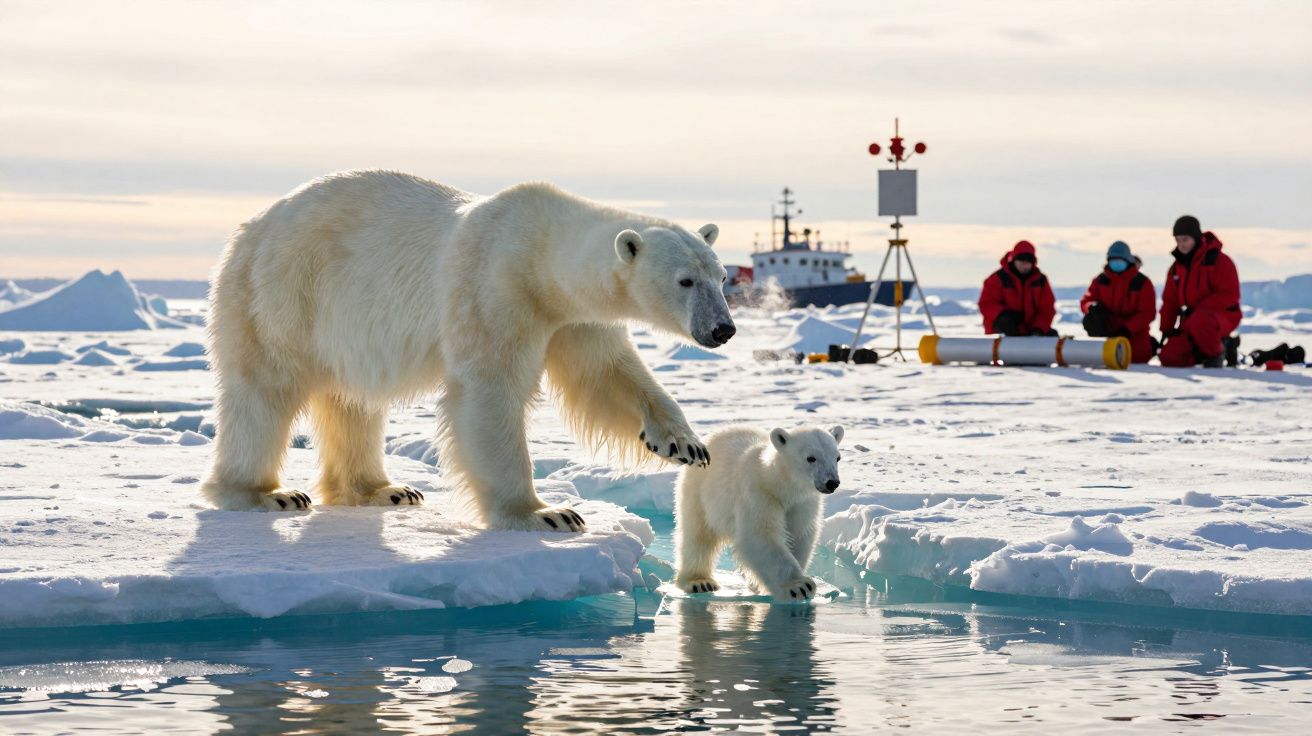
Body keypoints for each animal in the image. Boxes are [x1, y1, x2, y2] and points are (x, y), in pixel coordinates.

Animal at [200, 170, 735, 532]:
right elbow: (489, 393)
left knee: (352, 400)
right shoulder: (496, 287)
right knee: (264, 390)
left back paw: (385, 489)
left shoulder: (572, 317)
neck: (540, 249)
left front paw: (685, 443)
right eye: (685, 281)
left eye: (721, 275)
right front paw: (546, 514)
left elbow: (606, 374)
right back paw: (265, 494)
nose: (723, 329)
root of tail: (248, 229)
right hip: (282, 293)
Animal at [674, 424, 844, 600]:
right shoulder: (759, 494)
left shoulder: (802, 503)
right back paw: (699, 581)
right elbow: (761, 535)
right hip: (699, 490)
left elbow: (799, 534)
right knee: (698, 534)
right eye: (811, 458)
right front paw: (799, 586)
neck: (778, 484)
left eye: (837, 457)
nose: (832, 482)